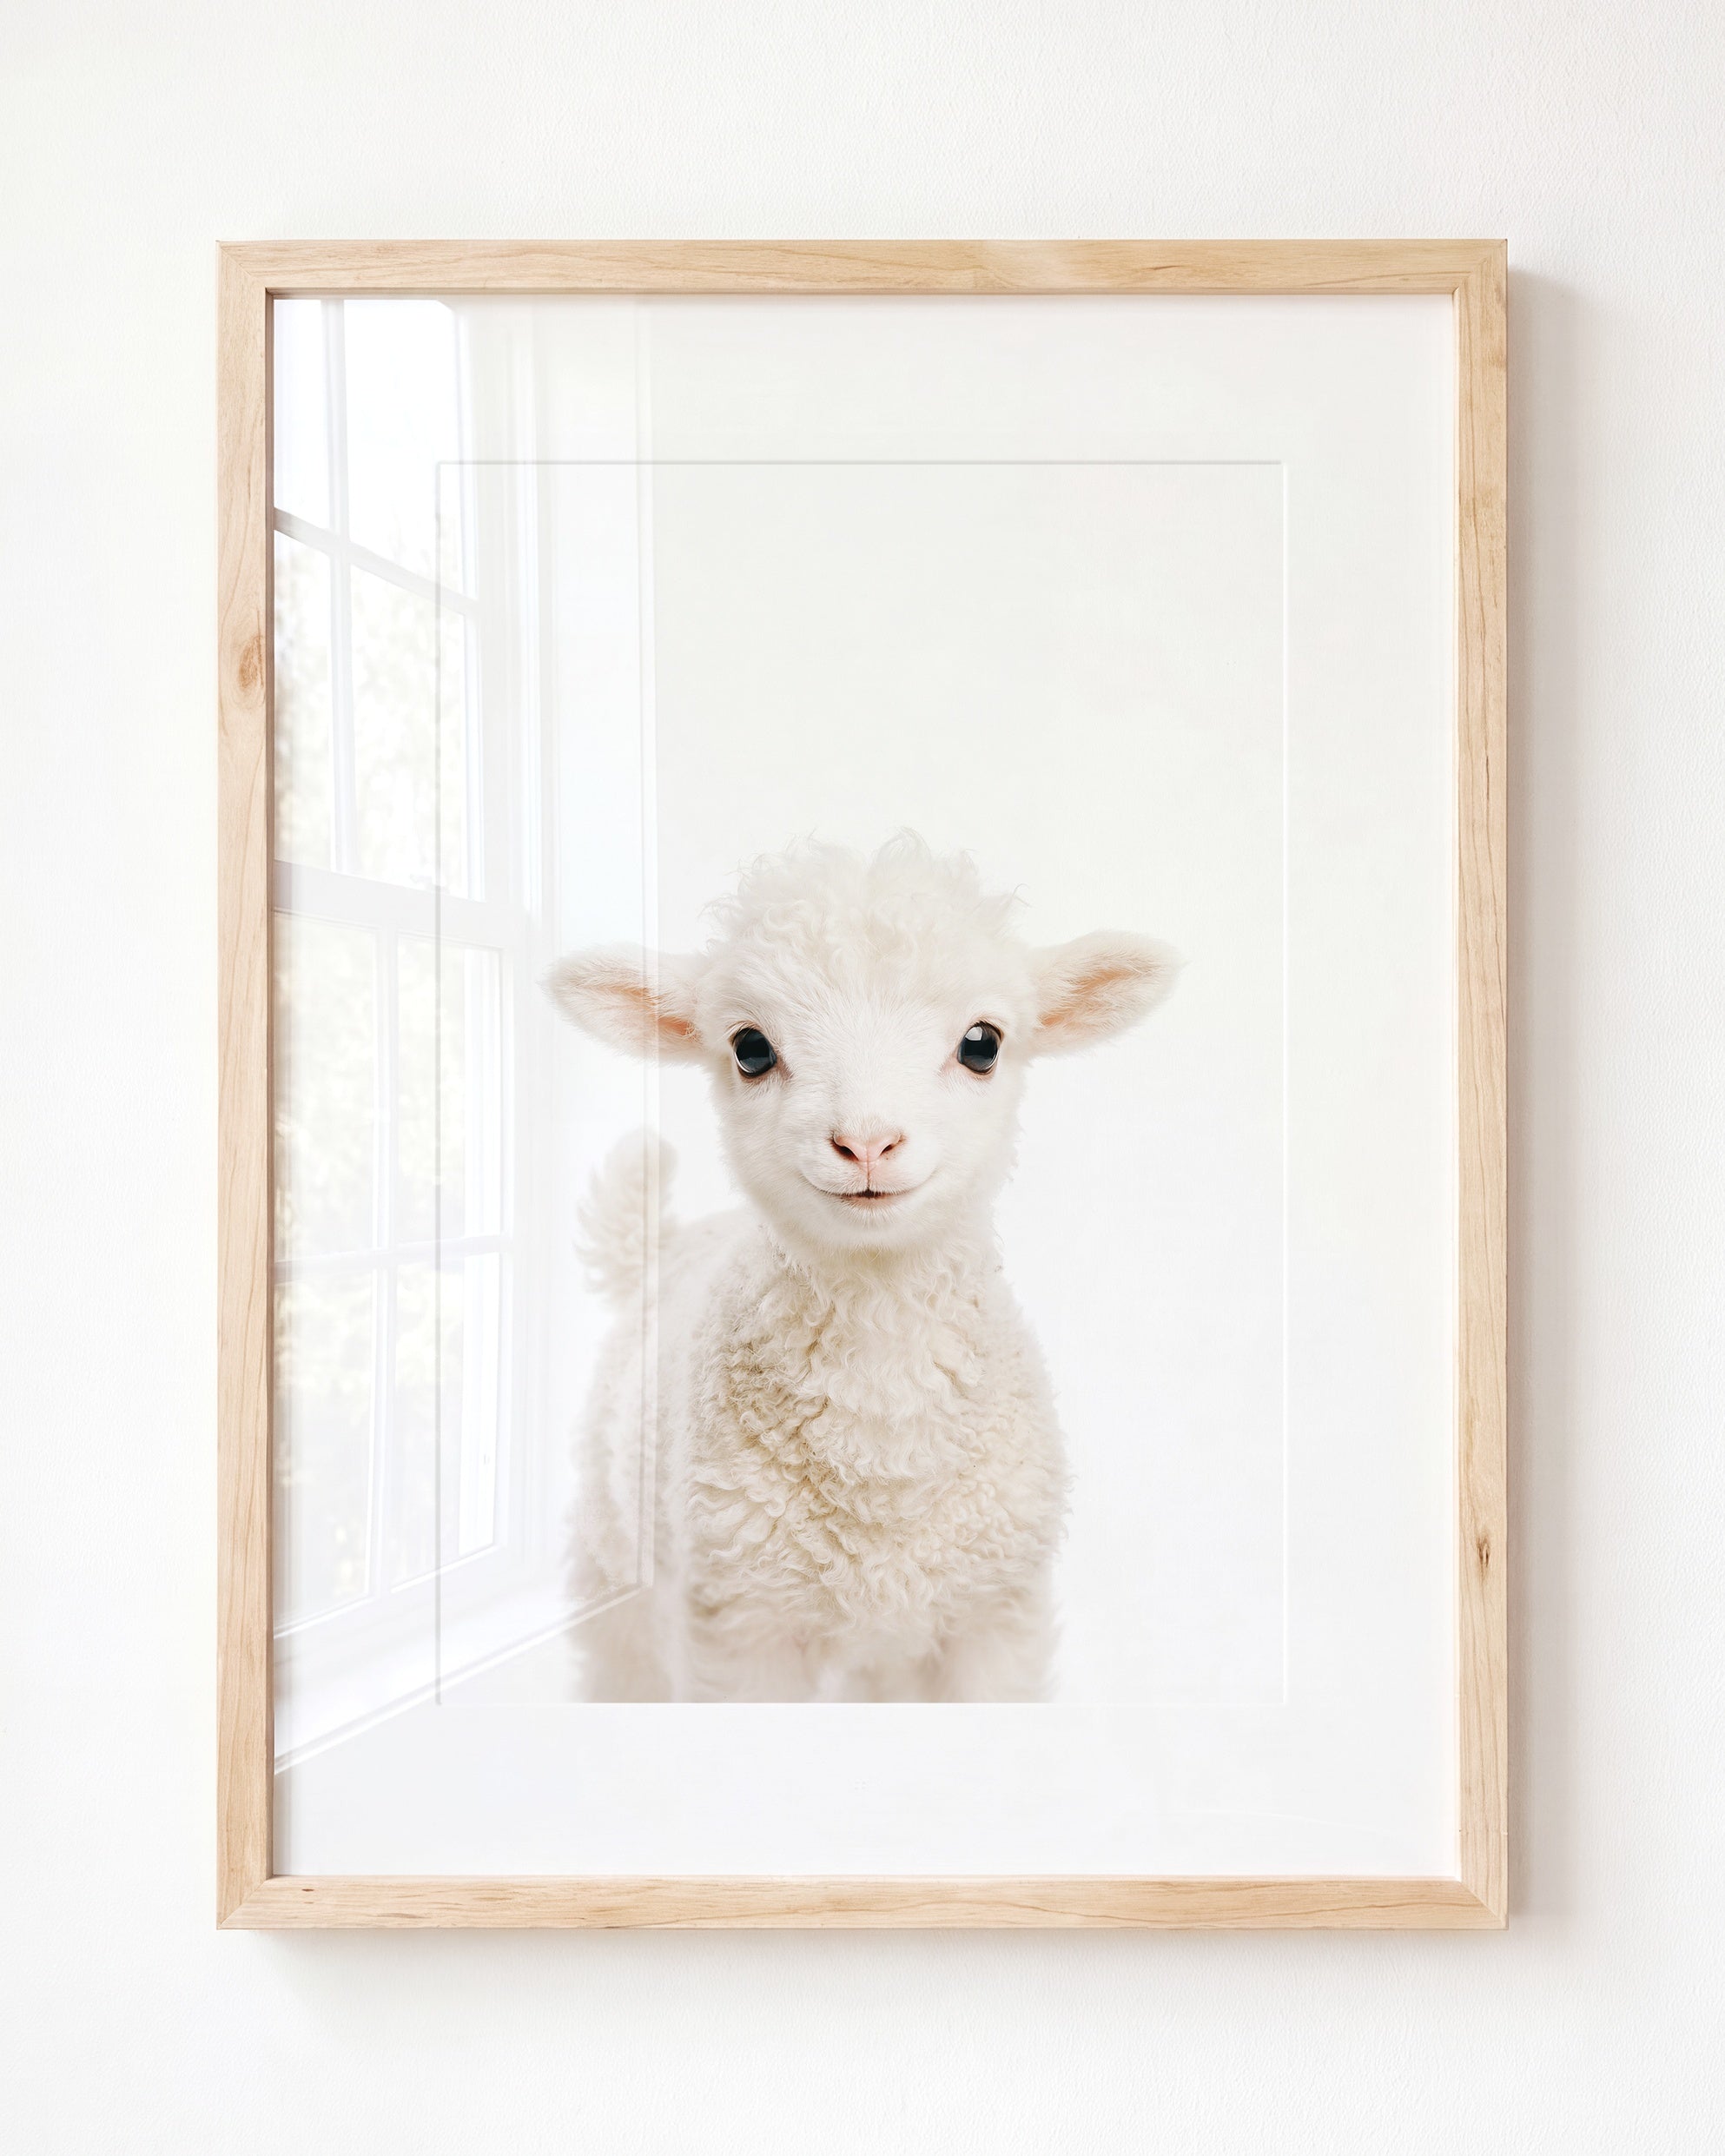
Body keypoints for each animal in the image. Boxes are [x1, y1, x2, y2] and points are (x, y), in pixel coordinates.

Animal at [545, 834, 1177, 1701]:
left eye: (983, 1044)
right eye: (750, 1049)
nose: (867, 1142)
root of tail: (666, 1244)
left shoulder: (994, 1617)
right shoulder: (740, 1627)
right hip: (618, 1577)